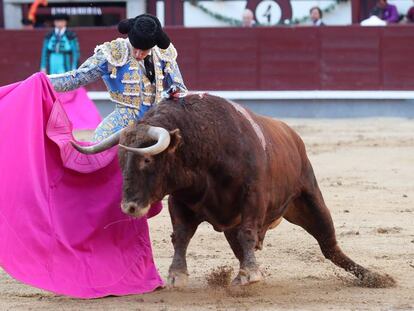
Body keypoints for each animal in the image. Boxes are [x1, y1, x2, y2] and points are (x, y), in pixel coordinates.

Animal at [72, 94, 394, 288]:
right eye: (119, 161)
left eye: (148, 159)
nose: (128, 207)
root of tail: (292, 134)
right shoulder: (181, 200)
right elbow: (181, 236)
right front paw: (177, 275)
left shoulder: (253, 197)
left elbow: (248, 233)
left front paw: (250, 274)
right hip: (233, 224)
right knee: (241, 245)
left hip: (310, 199)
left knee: (329, 246)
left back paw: (374, 277)